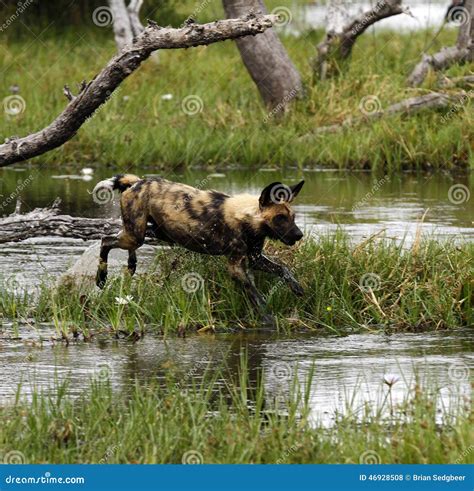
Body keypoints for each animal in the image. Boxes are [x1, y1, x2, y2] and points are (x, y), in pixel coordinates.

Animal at [93, 175, 304, 328]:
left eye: (292, 217)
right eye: (280, 218)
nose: (299, 235)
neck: (246, 218)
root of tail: (138, 182)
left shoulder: (255, 259)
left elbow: (283, 269)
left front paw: (296, 288)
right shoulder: (236, 266)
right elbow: (255, 295)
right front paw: (268, 319)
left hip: (149, 233)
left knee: (122, 243)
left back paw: (131, 266)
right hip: (136, 235)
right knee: (106, 241)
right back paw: (101, 278)